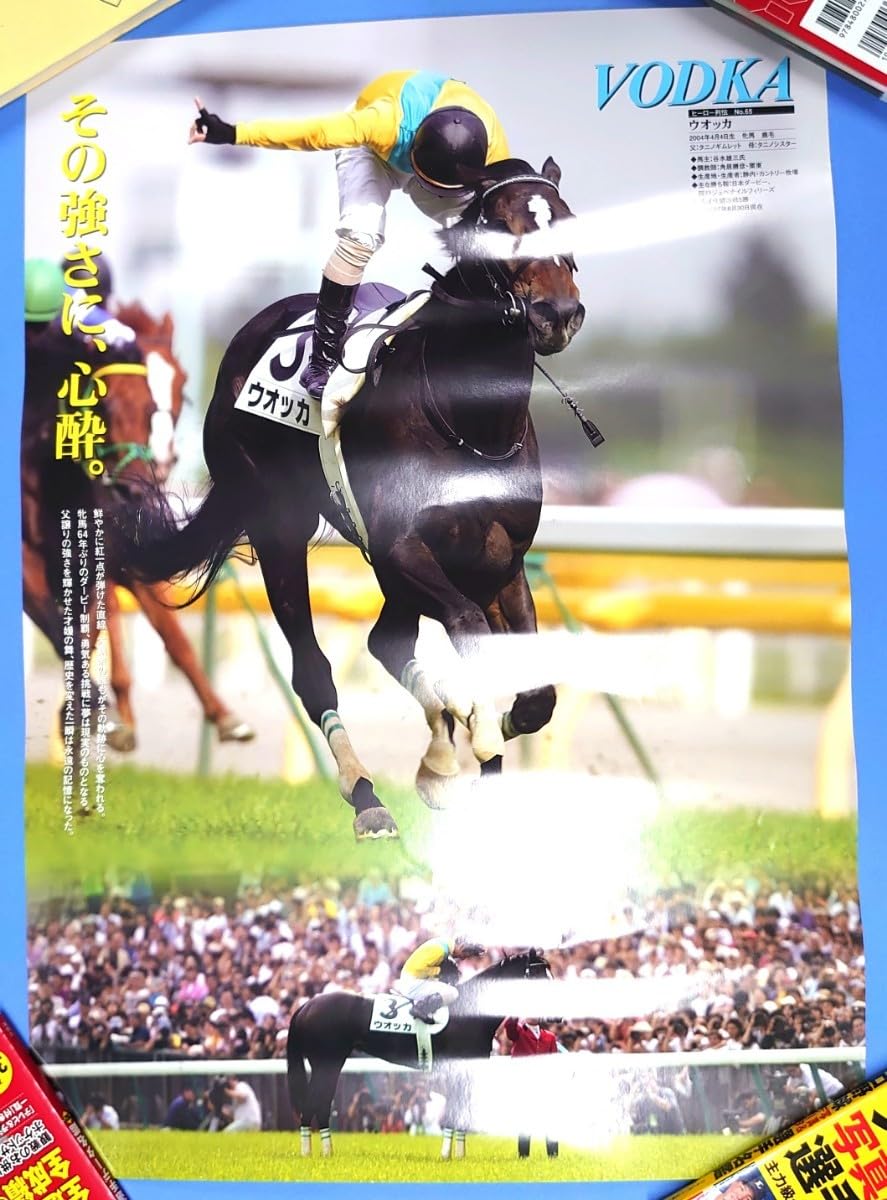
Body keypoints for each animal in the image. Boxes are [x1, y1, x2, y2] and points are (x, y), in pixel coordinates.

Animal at [115, 156, 584, 839]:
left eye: (567, 222)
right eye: (501, 226)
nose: (558, 313)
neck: (472, 424)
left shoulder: (501, 560)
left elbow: (535, 694)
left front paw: (482, 748)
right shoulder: (404, 548)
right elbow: (467, 631)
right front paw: (472, 737)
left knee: (386, 641)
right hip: (280, 525)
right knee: (315, 669)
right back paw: (369, 797)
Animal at [286, 949, 552, 1158]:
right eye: (539, 974)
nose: (552, 1016)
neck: (469, 1012)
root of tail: (306, 1006)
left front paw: (459, 1154)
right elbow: (453, 1111)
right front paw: (447, 1155)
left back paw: (325, 1152)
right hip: (328, 1063)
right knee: (315, 1103)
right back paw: (312, 1152)